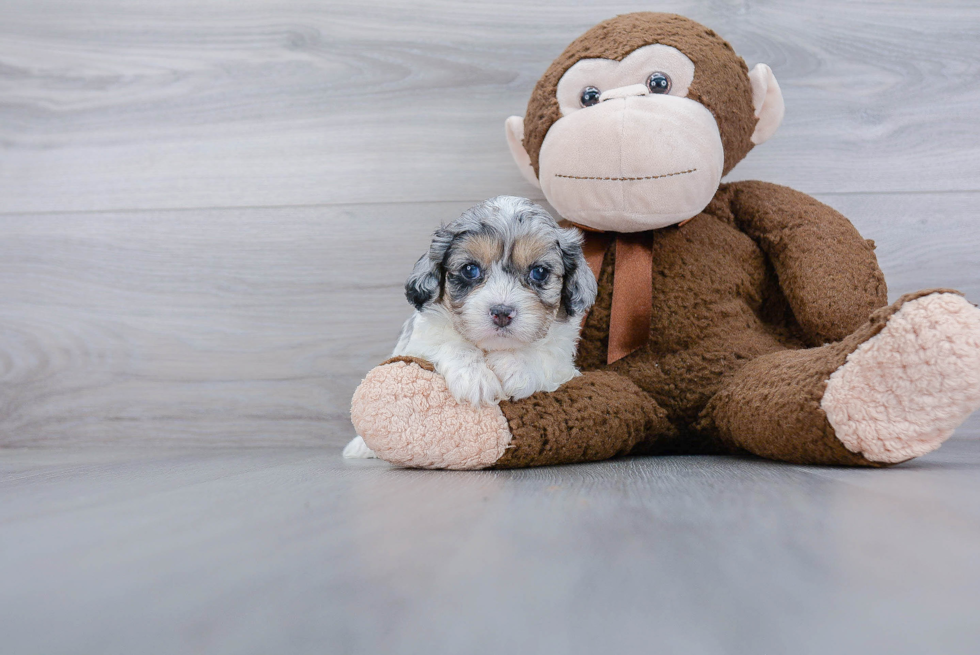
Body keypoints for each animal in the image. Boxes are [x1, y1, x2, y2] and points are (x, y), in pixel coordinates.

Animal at [348, 197, 600, 458]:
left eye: (539, 272)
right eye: (470, 269)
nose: (502, 312)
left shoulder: (563, 356)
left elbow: (543, 352)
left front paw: (515, 366)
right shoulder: (421, 340)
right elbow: (449, 343)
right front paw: (475, 378)